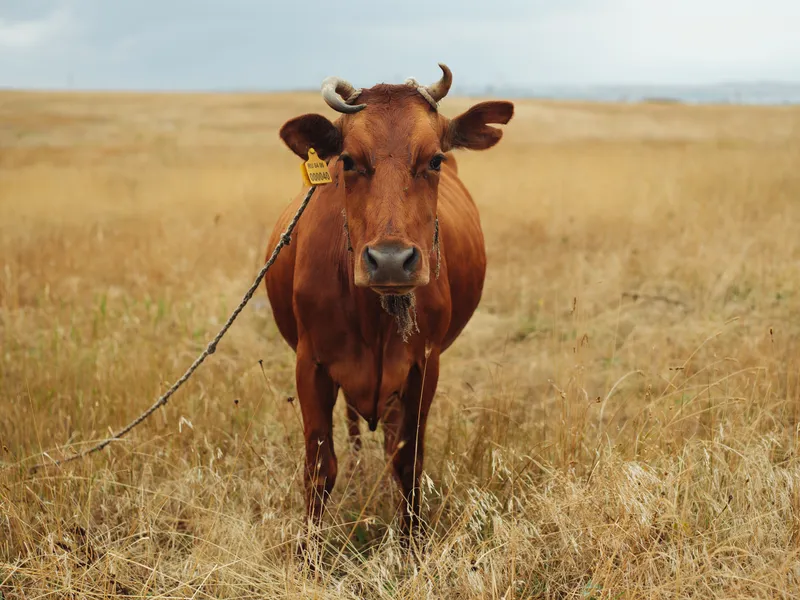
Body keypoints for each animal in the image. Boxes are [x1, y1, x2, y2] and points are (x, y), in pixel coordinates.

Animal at [264, 63, 514, 542]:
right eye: (347, 160)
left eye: (434, 159)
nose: (392, 261)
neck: (371, 319)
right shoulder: (311, 365)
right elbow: (319, 468)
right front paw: (308, 553)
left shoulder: (422, 366)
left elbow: (407, 460)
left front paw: (411, 541)